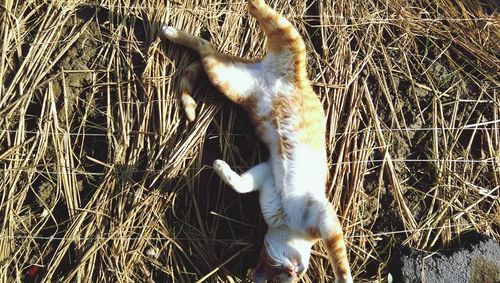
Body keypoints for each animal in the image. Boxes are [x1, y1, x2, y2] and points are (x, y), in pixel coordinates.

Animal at [163, 1, 352, 282]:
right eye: (277, 270)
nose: (293, 271)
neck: (286, 221)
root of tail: (262, 67)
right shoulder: (314, 211)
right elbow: (339, 255)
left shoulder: (276, 184)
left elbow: (241, 183)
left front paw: (220, 167)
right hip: (268, 52)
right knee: (247, 17)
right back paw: (170, 30)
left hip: (230, 76)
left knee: (209, 46)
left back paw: (172, 32)